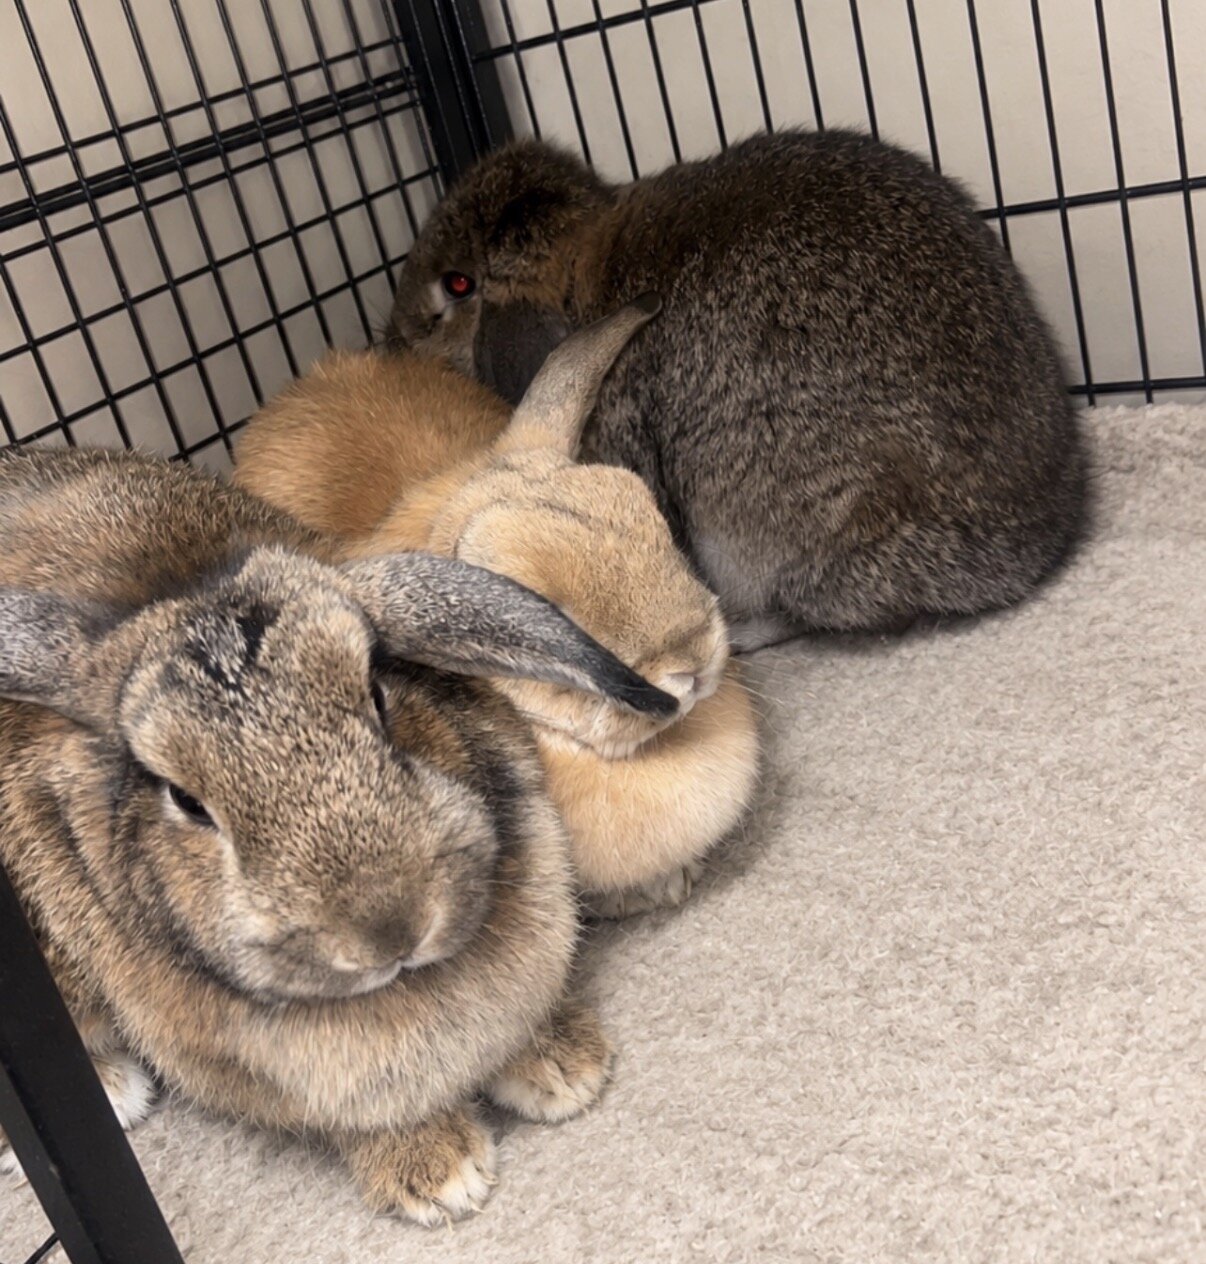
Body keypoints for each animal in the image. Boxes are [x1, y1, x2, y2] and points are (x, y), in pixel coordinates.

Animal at [0, 445, 677, 1222]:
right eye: (185, 800)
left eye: (381, 697)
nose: (388, 931)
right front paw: (439, 1174)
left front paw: (566, 1068)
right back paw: (113, 1091)